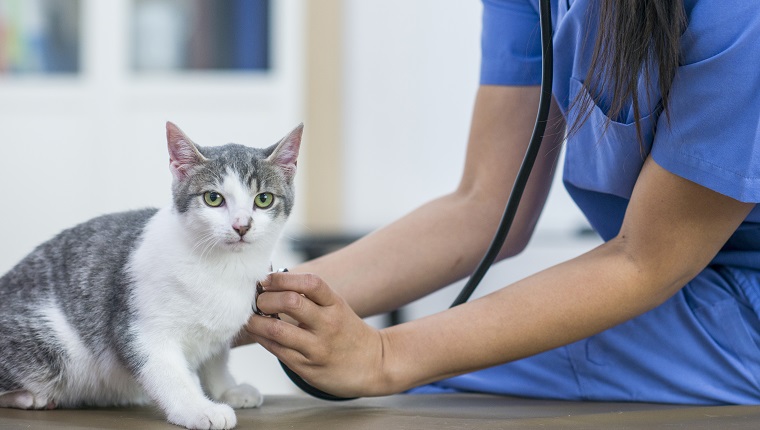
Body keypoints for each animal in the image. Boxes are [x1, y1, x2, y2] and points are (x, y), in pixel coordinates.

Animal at [0, 122, 302, 430]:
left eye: (263, 199)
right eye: (213, 198)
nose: (241, 226)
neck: (223, 267)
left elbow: (216, 358)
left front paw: (226, 389)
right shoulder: (141, 329)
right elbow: (167, 372)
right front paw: (199, 408)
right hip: (52, 345)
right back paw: (29, 397)